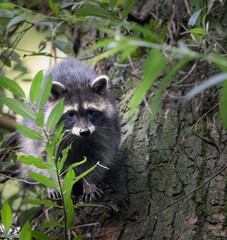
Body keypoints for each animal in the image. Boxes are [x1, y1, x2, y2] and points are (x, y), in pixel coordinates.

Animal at [19, 58, 120, 202]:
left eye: (90, 111)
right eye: (71, 113)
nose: (85, 131)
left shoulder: (105, 132)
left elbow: (98, 159)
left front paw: (90, 183)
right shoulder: (44, 135)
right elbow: (45, 161)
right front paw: (58, 185)